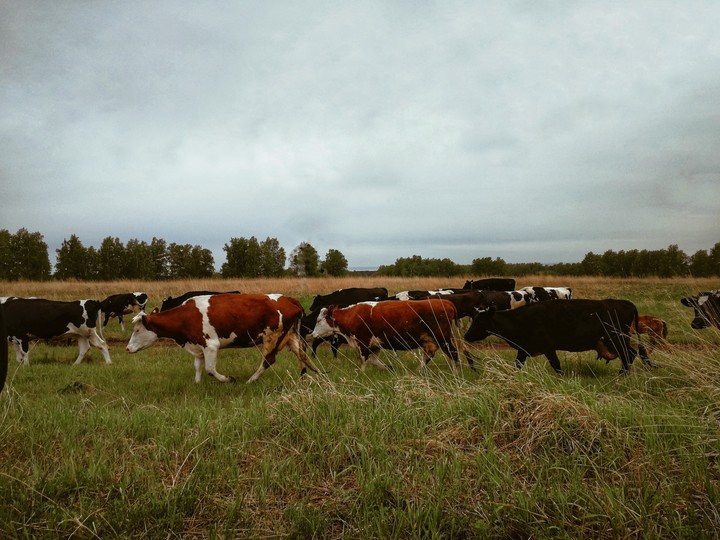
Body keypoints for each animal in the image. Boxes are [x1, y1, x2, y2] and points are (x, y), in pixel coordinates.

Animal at [127, 293, 318, 384]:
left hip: (272, 337)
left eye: (137, 329)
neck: (186, 316)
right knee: (301, 354)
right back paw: (305, 376)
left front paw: (228, 379)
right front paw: (197, 384)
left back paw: (250, 380)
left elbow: (210, 369)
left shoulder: (211, 345)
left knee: (268, 360)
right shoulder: (198, 346)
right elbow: (198, 367)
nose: (127, 348)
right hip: (290, 335)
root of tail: (287, 299)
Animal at [311, 299, 459, 371]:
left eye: (318, 321)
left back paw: (456, 373)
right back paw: (418, 370)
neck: (352, 316)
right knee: (428, 355)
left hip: (443, 339)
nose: (313, 334)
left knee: (454, 354)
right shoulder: (375, 345)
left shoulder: (363, 343)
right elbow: (374, 360)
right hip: (429, 340)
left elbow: (364, 361)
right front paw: (389, 368)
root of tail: (446, 302)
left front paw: (362, 374)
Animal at [464, 299, 649, 374]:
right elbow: (517, 365)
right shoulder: (524, 349)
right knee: (630, 354)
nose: (466, 336)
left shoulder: (548, 346)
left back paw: (622, 375)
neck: (519, 320)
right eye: (473, 319)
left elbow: (556, 365)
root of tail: (624, 302)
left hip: (617, 338)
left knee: (629, 354)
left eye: (479, 321)